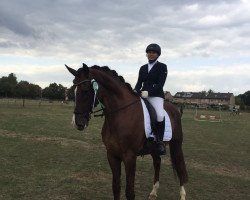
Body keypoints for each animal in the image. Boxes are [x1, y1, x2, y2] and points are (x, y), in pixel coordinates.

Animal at [65, 63, 187, 199]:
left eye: (85, 90)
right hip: (154, 148)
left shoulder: (130, 157)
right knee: (157, 163)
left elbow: (129, 192)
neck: (121, 114)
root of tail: (175, 108)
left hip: (176, 145)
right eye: (73, 90)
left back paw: (182, 195)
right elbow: (116, 187)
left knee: (180, 167)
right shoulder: (112, 155)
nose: (78, 123)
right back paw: (153, 192)